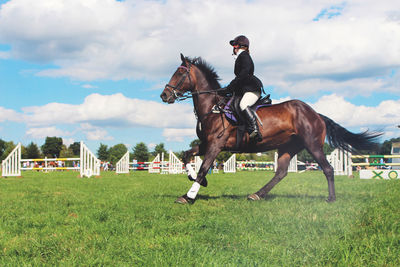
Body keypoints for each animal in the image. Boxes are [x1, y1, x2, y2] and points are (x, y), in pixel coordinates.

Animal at [160, 54, 382, 205]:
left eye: (180, 73)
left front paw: (188, 196)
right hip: (288, 147)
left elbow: (204, 167)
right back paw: (257, 194)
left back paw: (331, 199)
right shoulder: (206, 144)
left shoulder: (216, 144)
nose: (164, 95)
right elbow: (187, 155)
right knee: (281, 172)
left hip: (312, 145)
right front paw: (196, 180)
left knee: (327, 169)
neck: (213, 107)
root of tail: (317, 114)